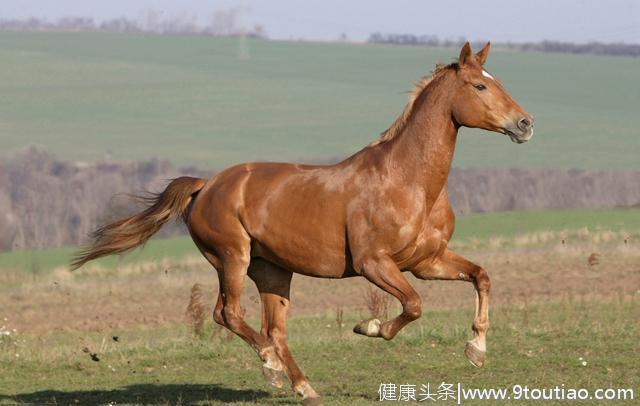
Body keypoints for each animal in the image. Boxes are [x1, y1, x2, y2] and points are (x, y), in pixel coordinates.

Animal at [72, 42, 536, 404]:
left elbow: (481, 277)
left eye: (496, 80)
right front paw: (368, 326)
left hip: (273, 271)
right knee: (229, 314)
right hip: (233, 258)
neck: (409, 182)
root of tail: (206, 186)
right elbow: (413, 305)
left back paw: (303, 387)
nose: (525, 124)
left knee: (273, 330)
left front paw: (476, 350)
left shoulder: (428, 261)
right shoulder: (374, 264)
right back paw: (271, 368)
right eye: (480, 85)